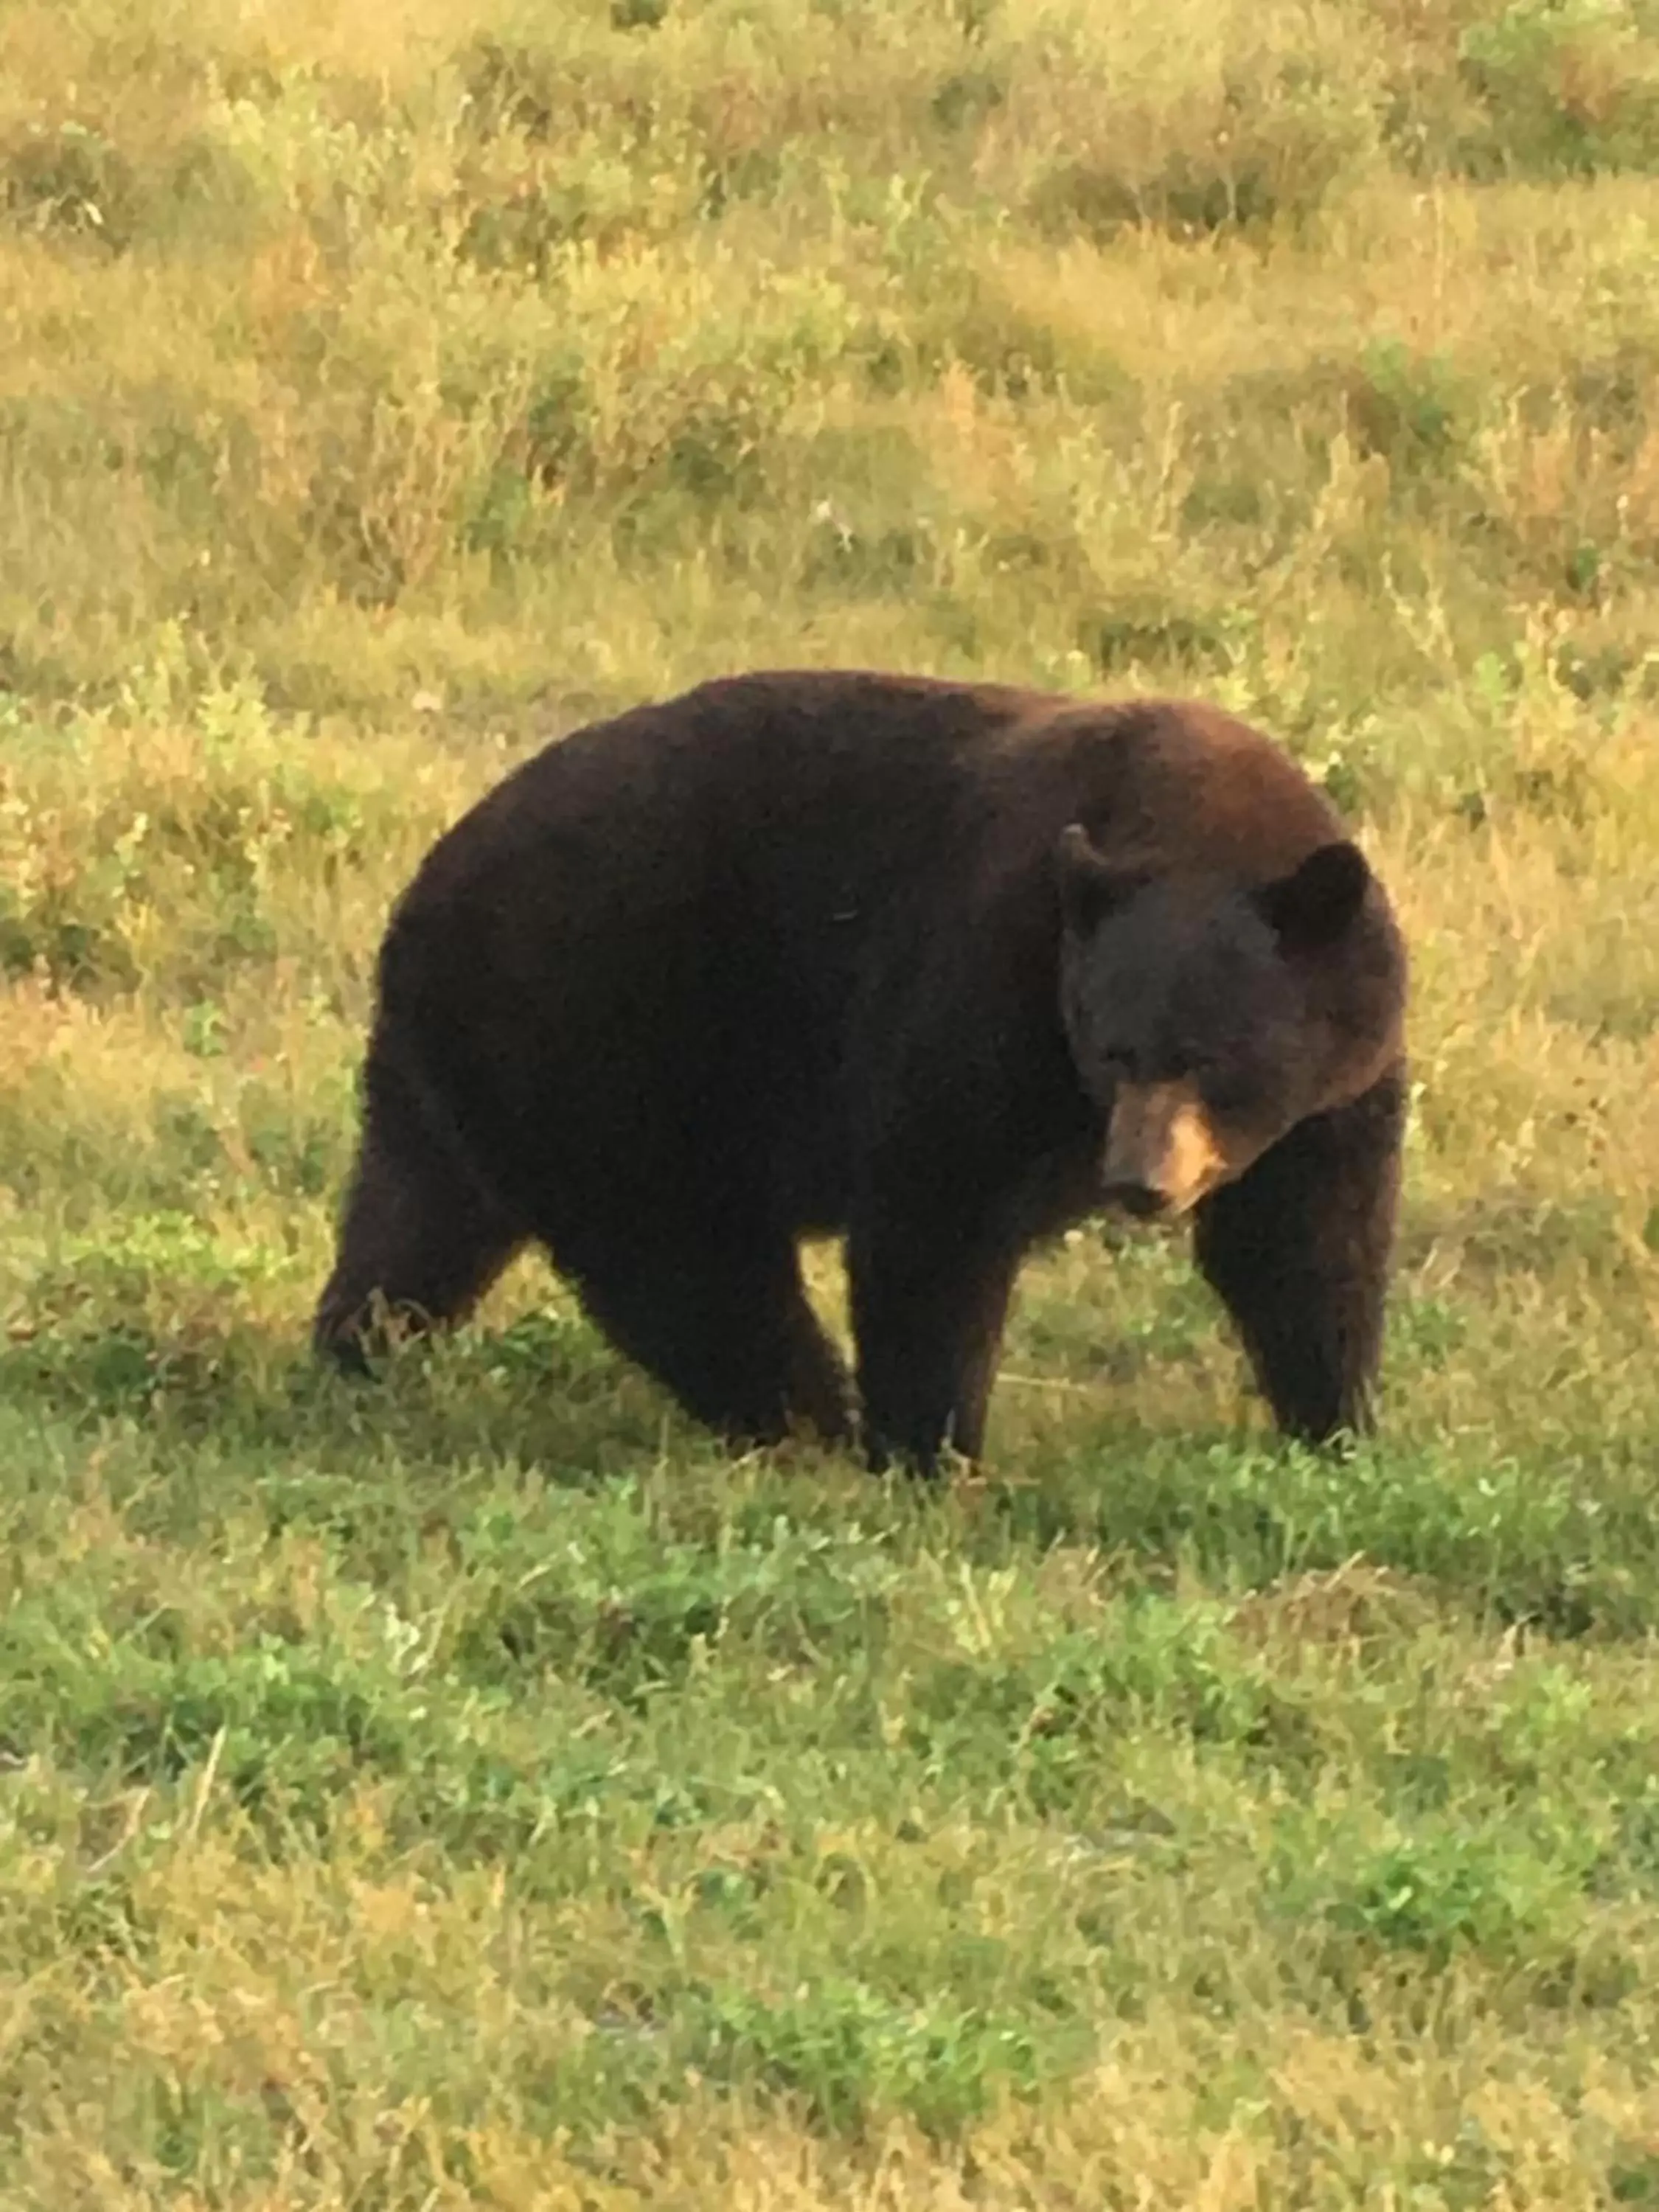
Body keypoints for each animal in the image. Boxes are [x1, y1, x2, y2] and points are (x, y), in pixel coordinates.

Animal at [319, 668, 1407, 1469]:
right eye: (1112, 1047)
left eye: (1211, 1055)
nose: (1138, 1183)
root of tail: (425, 889)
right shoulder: (988, 974)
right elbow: (940, 1212)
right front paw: (934, 1451)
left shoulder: (1335, 1086)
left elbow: (1302, 1239)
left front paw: (1336, 1426)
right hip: (606, 1033)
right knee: (681, 1256)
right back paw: (809, 1421)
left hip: (472, 1062)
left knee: (417, 1218)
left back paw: (358, 1352)